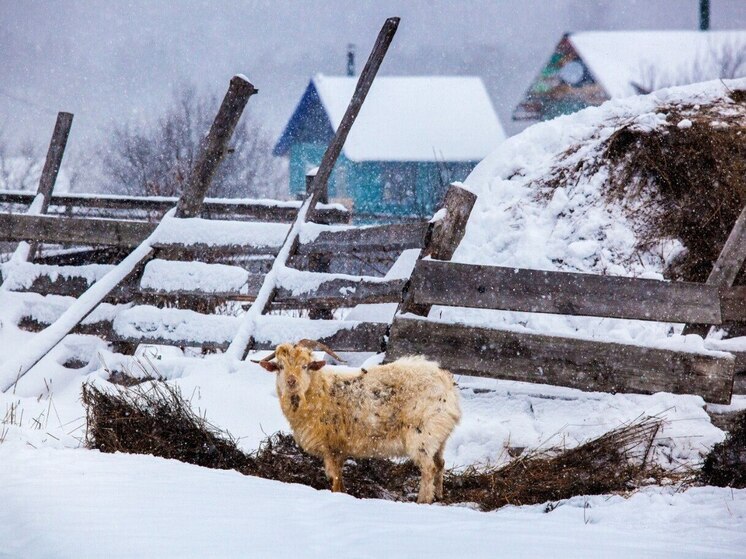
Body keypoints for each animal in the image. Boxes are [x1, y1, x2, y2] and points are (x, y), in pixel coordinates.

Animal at [256, 340, 460, 506]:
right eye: (280, 366)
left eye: (306, 366)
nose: (291, 382)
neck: (320, 391)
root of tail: (447, 384)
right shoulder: (339, 450)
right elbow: (340, 480)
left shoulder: (331, 448)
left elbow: (335, 479)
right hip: (439, 438)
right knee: (440, 463)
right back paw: (439, 495)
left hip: (422, 436)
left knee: (429, 469)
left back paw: (422, 501)